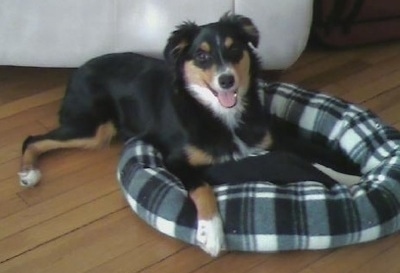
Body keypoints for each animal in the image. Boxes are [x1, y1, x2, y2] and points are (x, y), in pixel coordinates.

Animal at [19, 13, 276, 256]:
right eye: (202, 56)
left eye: (235, 49)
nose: (226, 80)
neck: (219, 113)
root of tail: (77, 71)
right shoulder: (175, 160)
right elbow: (202, 187)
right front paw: (211, 233)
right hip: (94, 129)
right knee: (32, 139)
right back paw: (28, 173)